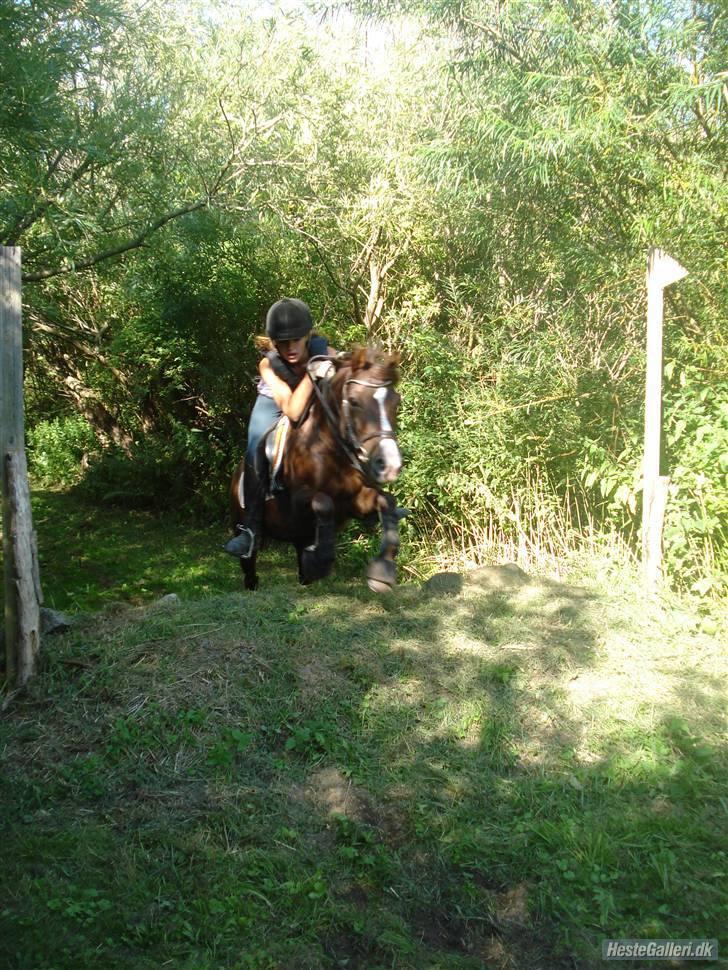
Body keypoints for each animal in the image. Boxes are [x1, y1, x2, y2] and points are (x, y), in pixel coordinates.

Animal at [229, 346, 404, 592]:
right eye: (354, 401)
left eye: (396, 401)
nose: (390, 465)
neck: (329, 449)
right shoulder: (296, 503)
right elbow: (323, 502)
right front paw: (321, 562)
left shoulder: (354, 503)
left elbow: (386, 501)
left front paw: (383, 570)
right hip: (242, 525)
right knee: (250, 567)